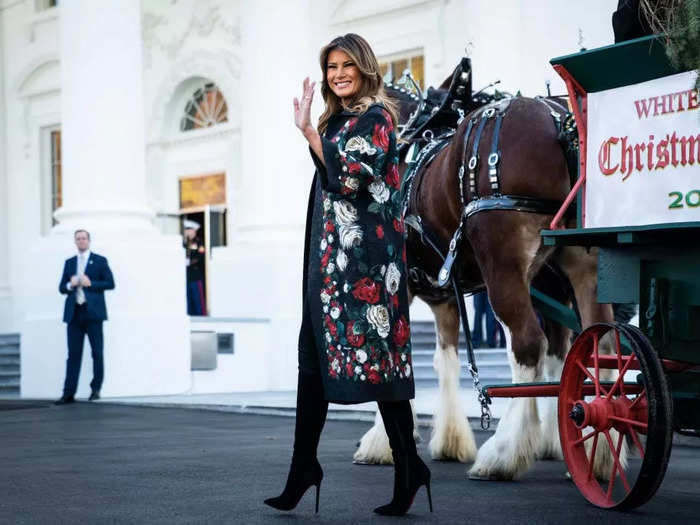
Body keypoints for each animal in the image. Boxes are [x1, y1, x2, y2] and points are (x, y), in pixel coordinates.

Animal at [352, 89, 616, 478]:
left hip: (504, 267)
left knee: (529, 345)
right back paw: (596, 455)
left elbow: (396, 358)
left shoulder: (396, 286)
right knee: (595, 344)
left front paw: (382, 441)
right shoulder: (445, 297)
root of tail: (560, 122)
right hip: (577, 268)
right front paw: (450, 439)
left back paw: (505, 452)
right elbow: (445, 359)